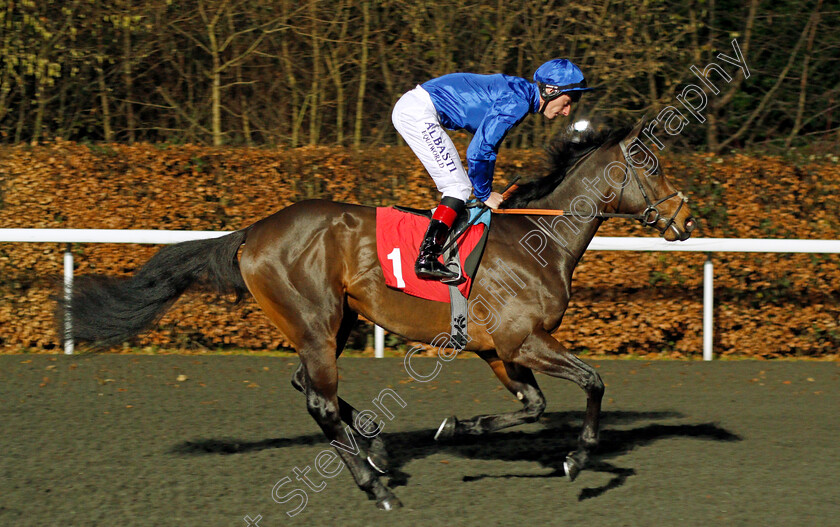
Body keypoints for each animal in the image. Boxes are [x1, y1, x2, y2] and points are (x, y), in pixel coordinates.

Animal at [64, 118, 696, 512]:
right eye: (652, 166)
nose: (687, 220)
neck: (539, 239)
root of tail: (252, 233)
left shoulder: (498, 351)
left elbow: (534, 407)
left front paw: (457, 426)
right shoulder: (523, 341)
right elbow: (593, 381)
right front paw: (578, 458)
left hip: (335, 321)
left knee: (305, 384)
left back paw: (375, 442)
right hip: (317, 320)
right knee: (317, 400)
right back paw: (375, 482)